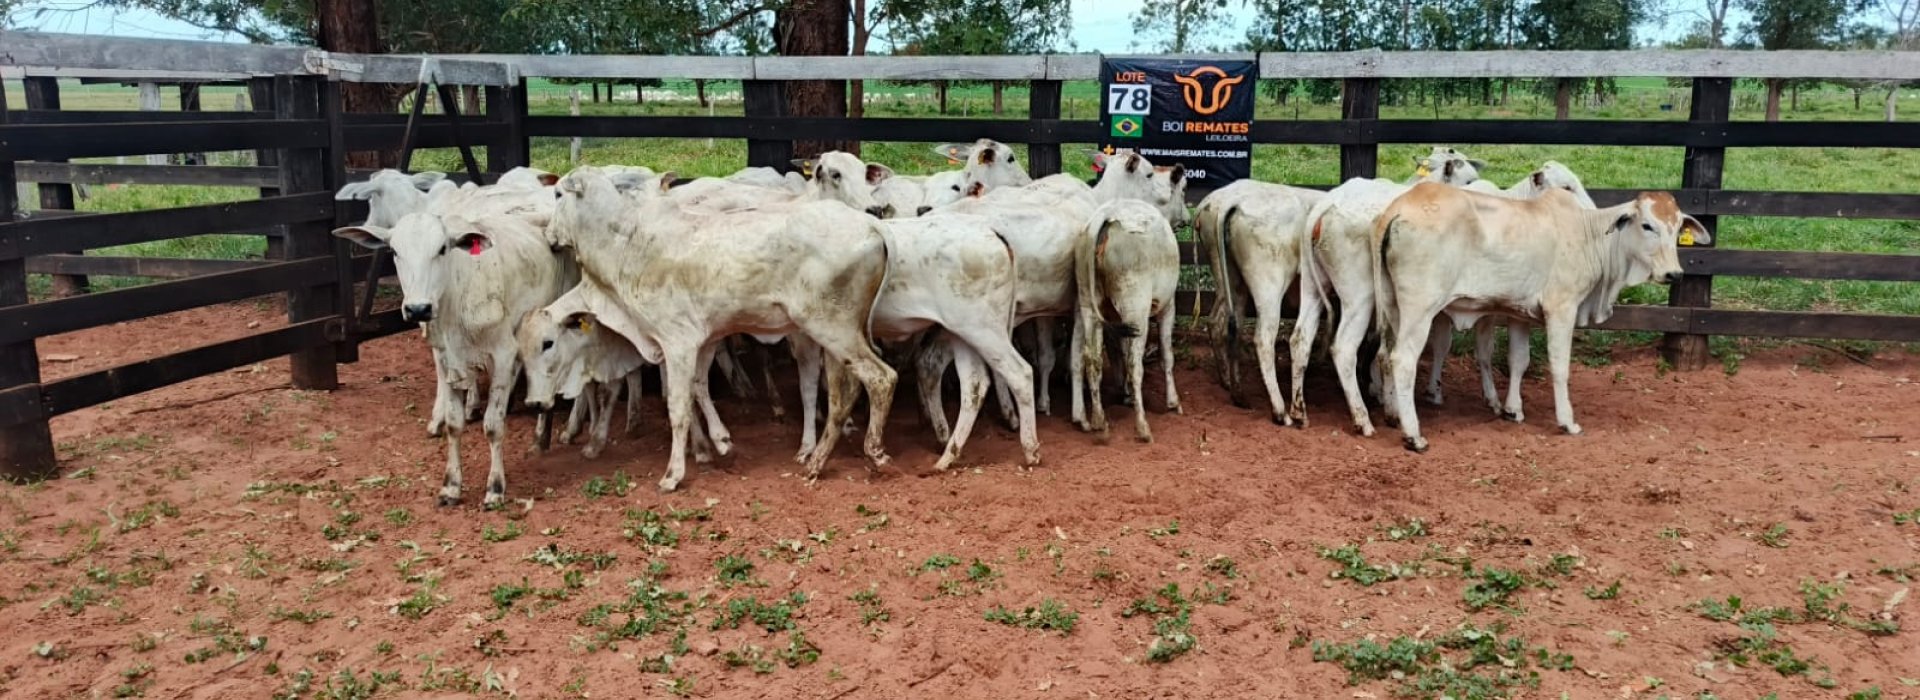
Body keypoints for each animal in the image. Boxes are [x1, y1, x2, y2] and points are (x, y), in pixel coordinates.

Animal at [549, 166, 897, 491]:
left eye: (557, 194)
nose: (550, 237)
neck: (626, 244)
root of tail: (872, 225)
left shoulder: (677, 342)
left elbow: (677, 407)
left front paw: (673, 474)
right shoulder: (704, 340)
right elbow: (699, 388)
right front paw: (720, 442)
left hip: (832, 328)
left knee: (881, 378)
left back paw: (870, 453)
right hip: (842, 334)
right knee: (843, 393)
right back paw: (818, 458)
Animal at [1371, 184, 1707, 452]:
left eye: (1678, 227)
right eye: (1647, 225)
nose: (1674, 274)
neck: (1589, 235)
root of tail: (1397, 210)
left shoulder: (1520, 314)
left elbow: (1519, 361)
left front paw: (1513, 410)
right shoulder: (1562, 308)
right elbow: (1559, 366)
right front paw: (1567, 421)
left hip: (1392, 307)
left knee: (1384, 355)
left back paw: (1393, 414)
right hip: (1420, 308)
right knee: (1403, 359)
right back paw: (1413, 435)